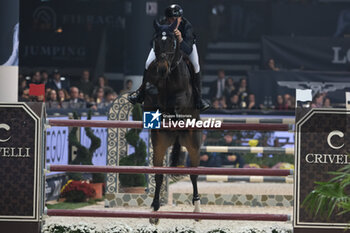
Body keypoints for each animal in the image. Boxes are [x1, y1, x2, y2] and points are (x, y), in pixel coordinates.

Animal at [143, 20, 201, 224]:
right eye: (156, 42)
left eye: (173, 43)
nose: (161, 69)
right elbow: (150, 91)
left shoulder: (183, 100)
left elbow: (177, 104)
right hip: (159, 145)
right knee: (159, 175)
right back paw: (154, 210)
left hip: (193, 145)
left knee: (193, 175)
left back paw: (197, 209)